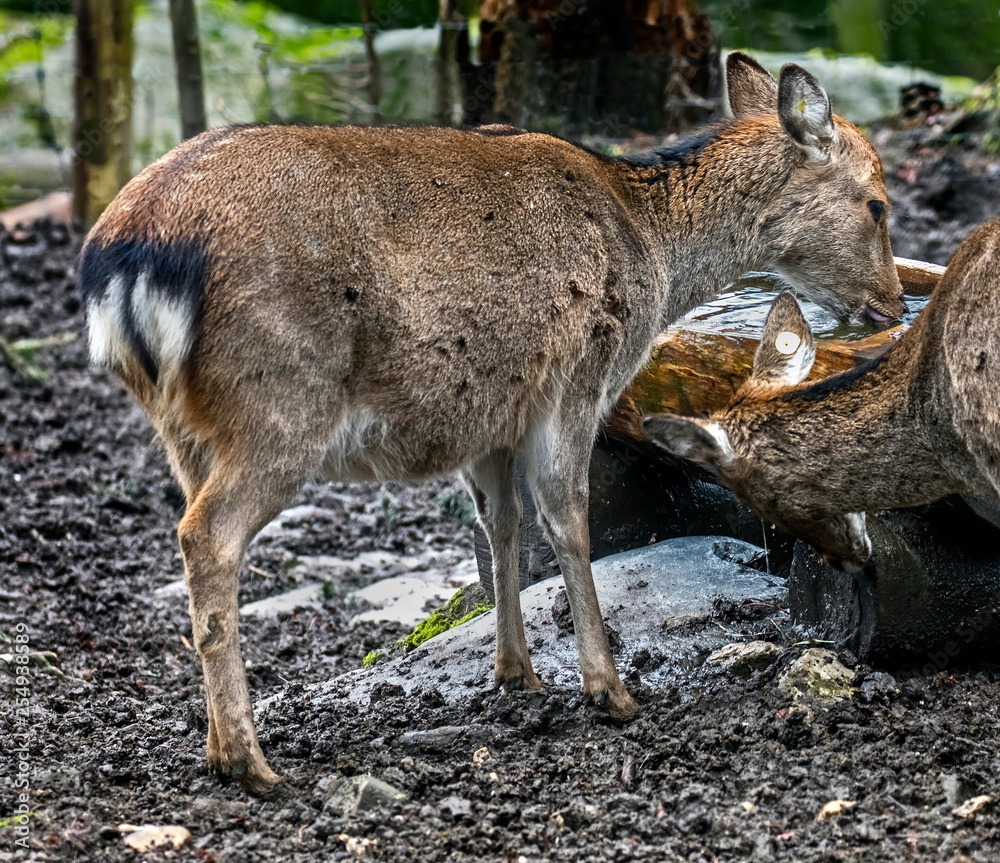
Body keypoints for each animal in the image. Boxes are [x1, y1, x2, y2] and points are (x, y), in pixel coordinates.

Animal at [80, 52, 904, 795]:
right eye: (878, 203)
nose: (893, 305)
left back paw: (222, 746)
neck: (651, 251)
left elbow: (503, 526)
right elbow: (569, 519)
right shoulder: (576, 376)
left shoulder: (491, 411)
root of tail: (124, 259)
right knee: (206, 535)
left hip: (183, 426)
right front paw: (611, 689)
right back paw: (249, 763)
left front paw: (518, 673)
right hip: (281, 402)